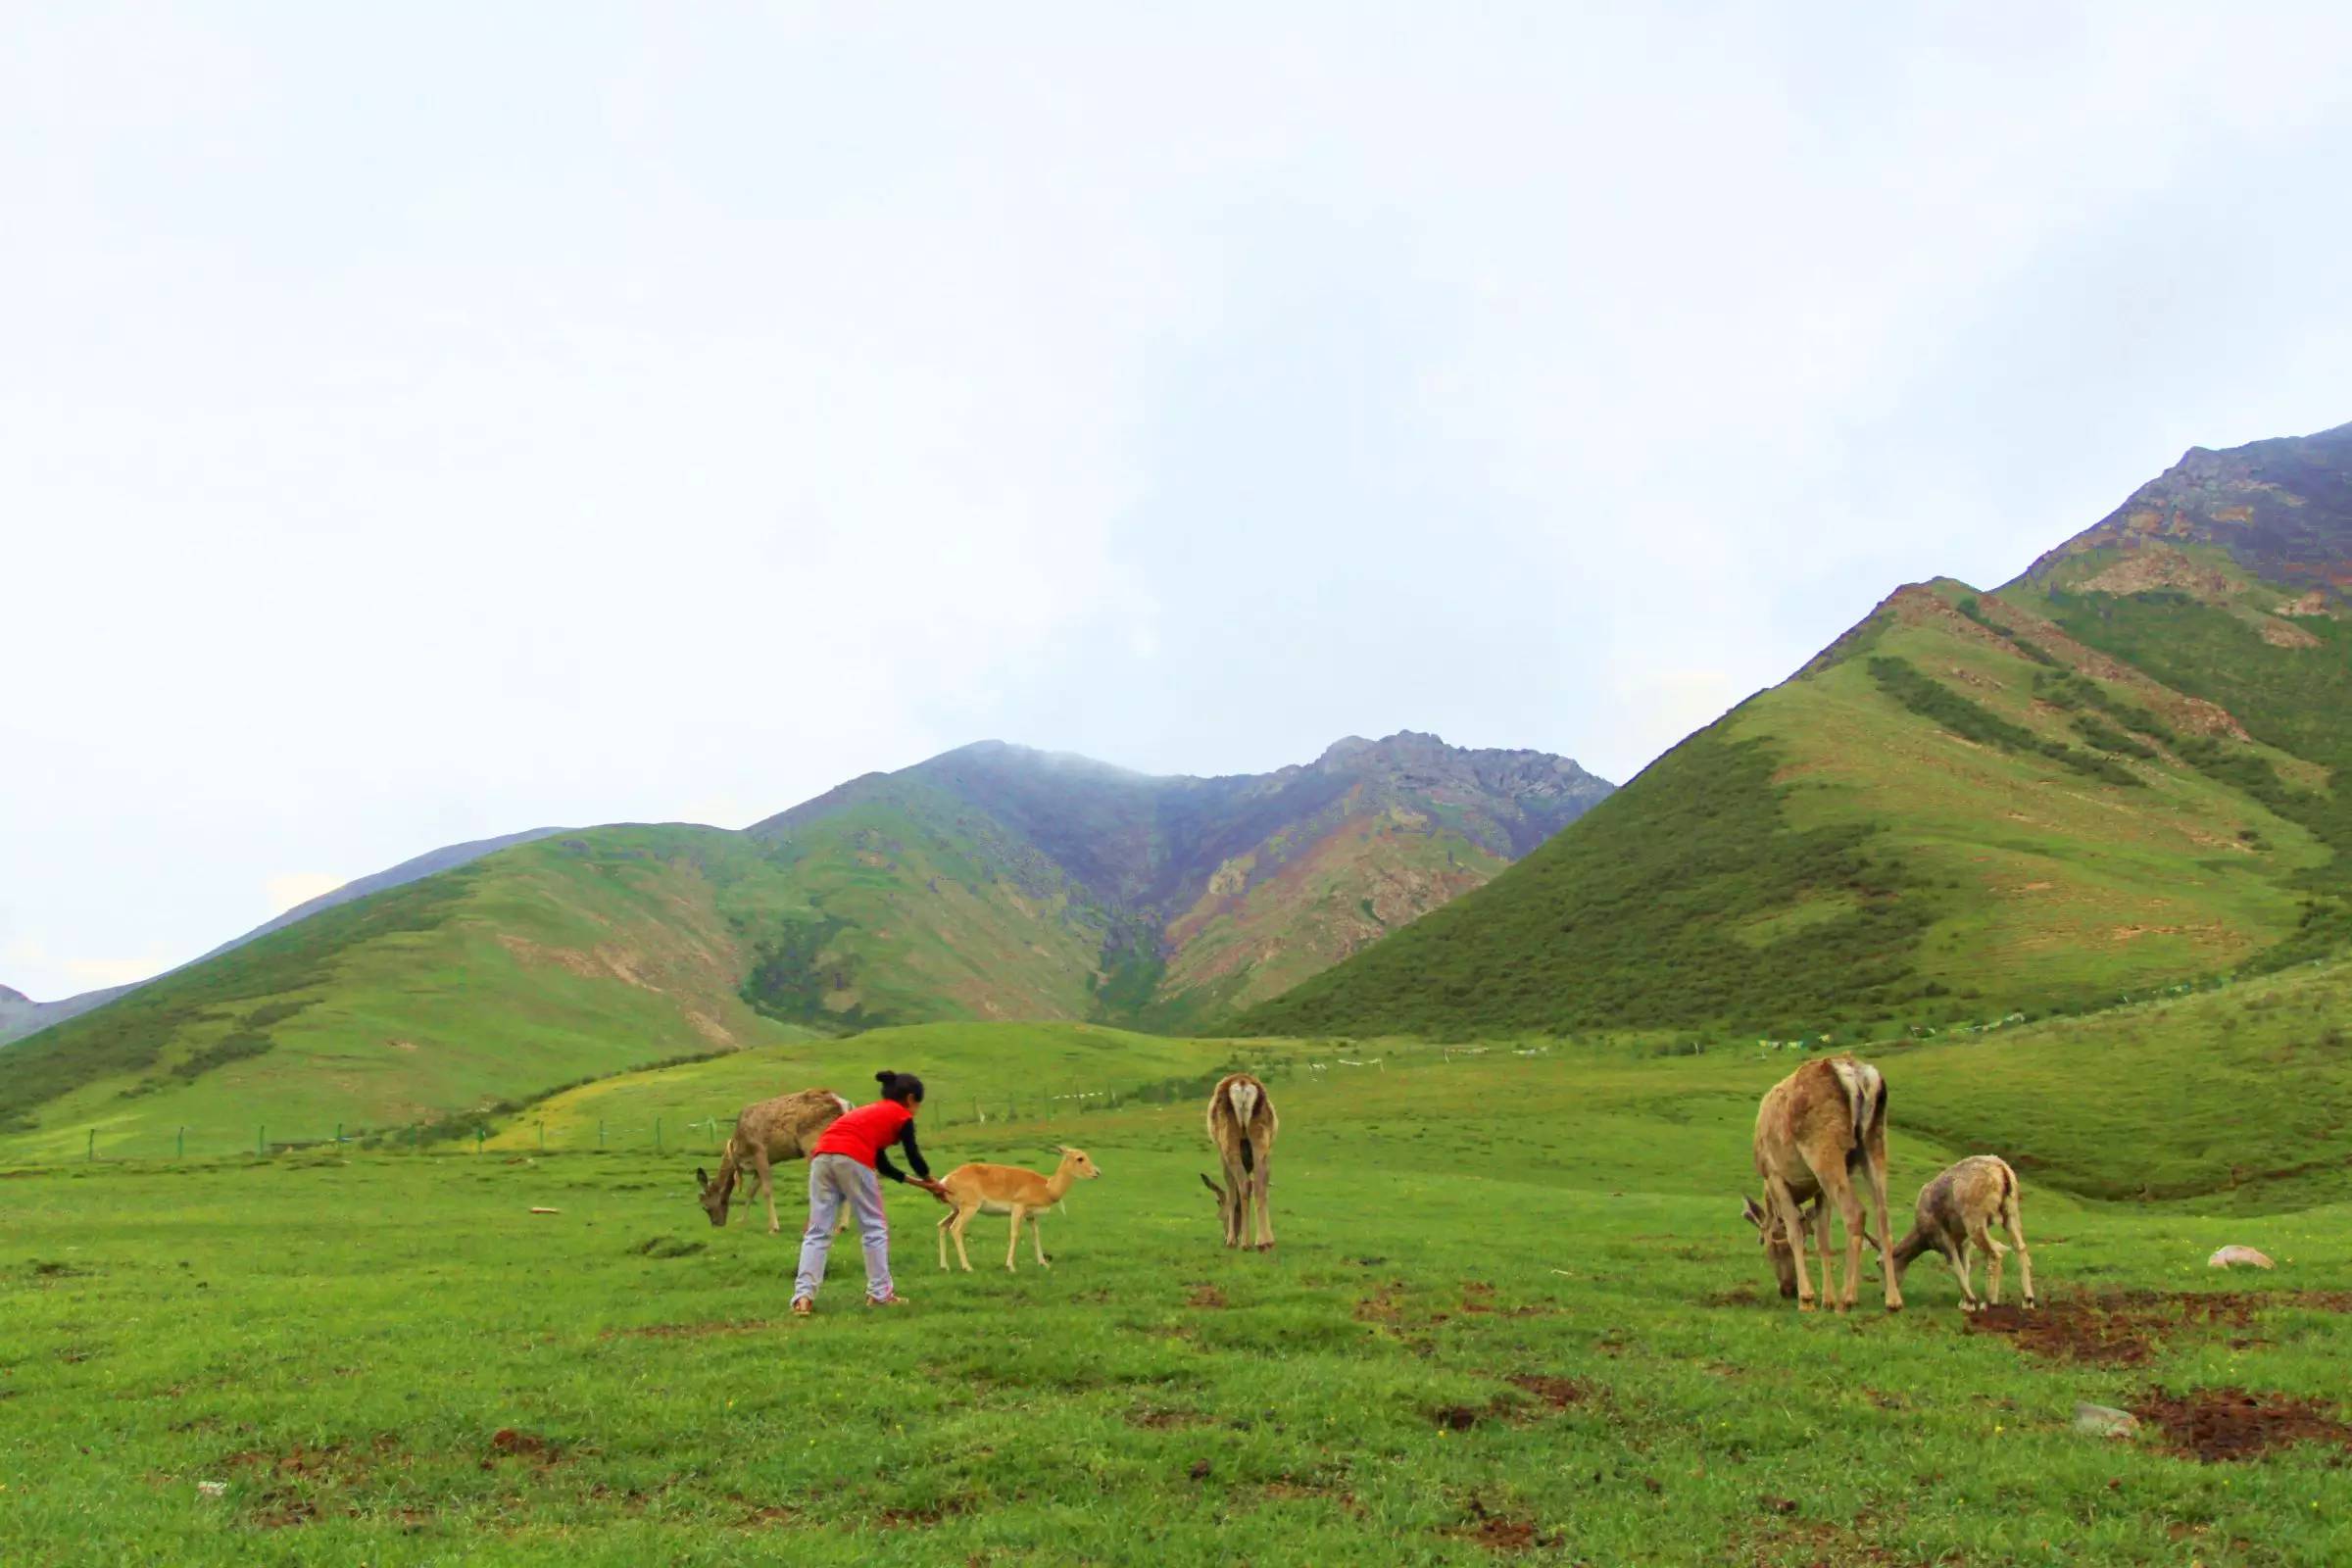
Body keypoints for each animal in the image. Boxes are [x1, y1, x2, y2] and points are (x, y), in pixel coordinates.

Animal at [686, 1086, 856, 1231]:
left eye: (705, 1206)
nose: (716, 1224)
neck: (737, 1150)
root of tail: (844, 1105)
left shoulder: (759, 1152)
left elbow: (766, 1189)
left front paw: (773, 1227)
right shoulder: (761, 1162)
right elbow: (751, 1191)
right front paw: (741, 1221)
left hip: (812, 1143)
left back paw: (813, 1225)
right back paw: (842, 1226)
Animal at [931, 1152, 1096, 1278]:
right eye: (1080, 1158)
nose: (1097, 1172)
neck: (1047, 1187)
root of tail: (946, 1180)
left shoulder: (1030, 1216)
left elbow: (1036, 1235)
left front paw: (1043, 1263)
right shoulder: (1018, 1209)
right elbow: (1015, 1234)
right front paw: (1010, 1266)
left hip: (956, 1210)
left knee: (942, 1225)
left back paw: (944, 1266)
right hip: (968, 1209)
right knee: (956, 1229)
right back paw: (967, 1267)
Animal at [1203, 1067, 1279, 1250]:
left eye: (1218, 1202)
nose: (1224, 1236)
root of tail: (1243, 1085)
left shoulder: (1222, 1155)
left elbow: (1231, 1190)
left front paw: (1231, 1240)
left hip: (1227, 1137)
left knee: (1244, 1183)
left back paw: (1244, 1243)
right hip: (1261, 1136)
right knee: (1259, 1183)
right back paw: (1264, 1242)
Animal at [1740, 1053, 1900, 1316]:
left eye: (1771, 1247)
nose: (1787, 1289)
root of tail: (1858, 1075)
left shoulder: (1775, 1176)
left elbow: (1795, 1232)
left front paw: (1807, 1299)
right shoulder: (1819, 1189)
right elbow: (1823, 1238)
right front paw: (1827, 1299)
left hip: (1823, 1148)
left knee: (1855, 1212)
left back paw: (1848, 1299)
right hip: (1876, 1141)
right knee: (1883, 1218)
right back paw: (1893, 1300)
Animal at [1882, 1152, 2032, 1316]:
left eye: (1881, 1266)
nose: (1884, 1294)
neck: (1921, 1235)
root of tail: (2001, 1168)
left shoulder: (1942, 1237)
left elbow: (1955, 1266)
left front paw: (1969, 1301)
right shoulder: (1964, 1243)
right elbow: (1964, 1266)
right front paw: (1965, 1302)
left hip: (1975, 1219)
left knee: (1995, 1254)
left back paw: (1991, 1300)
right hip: (2010, 1212)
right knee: (2020, 1248)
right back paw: (2028, 1300)